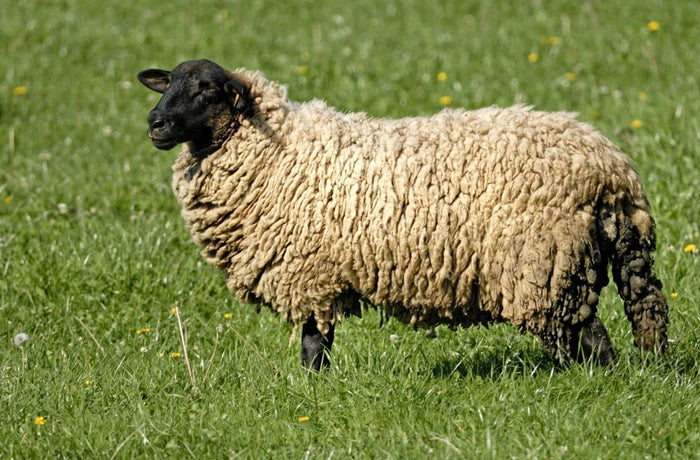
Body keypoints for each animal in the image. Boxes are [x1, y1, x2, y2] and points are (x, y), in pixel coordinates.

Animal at [137, 59, 668, 371]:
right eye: (168, 85)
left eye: (208, 89)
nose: (155, 123)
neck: (275, 150)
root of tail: (613, 168)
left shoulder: (308, 273)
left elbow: (313, 342)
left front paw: (310, 388)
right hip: (577, 263)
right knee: (629, 316)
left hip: (544, 263)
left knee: (591, 337)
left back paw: (588, 381)